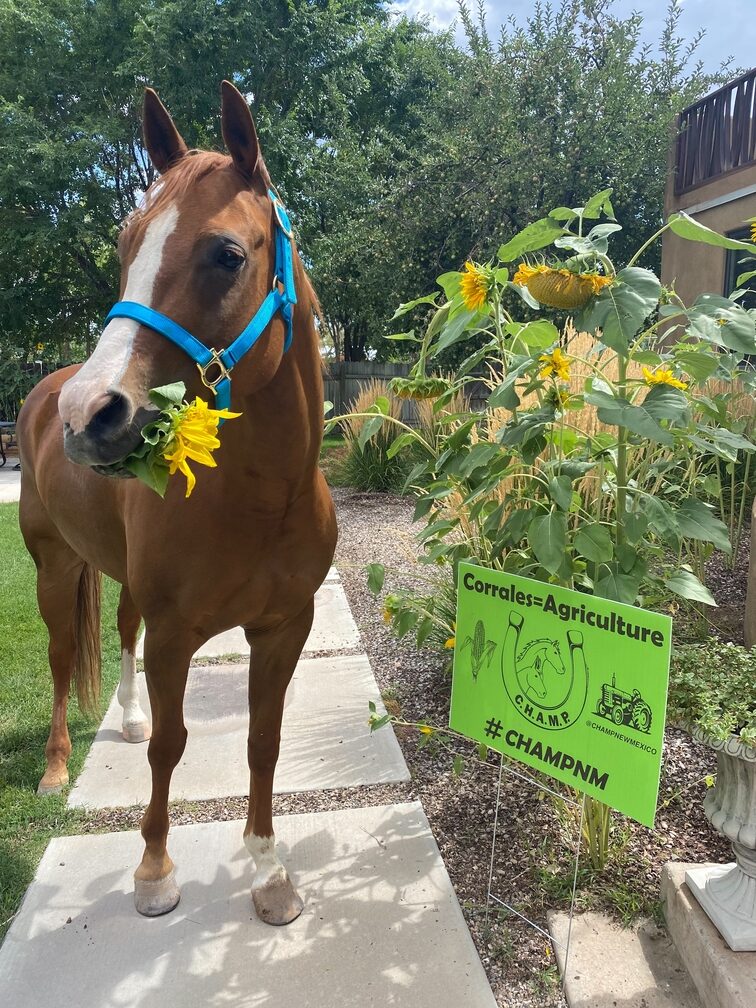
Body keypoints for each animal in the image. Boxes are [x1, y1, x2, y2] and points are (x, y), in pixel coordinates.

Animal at [17, 82, 337, 925]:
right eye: (125, 245)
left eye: (227, 254)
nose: (91, 415)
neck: (261, 502)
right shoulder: (175, 638)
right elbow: (173, 745)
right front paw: (155, 869)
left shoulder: (284, 628)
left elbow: (263, 741)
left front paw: (268, 870)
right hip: (53, 568)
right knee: (61, 658)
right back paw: (56, 768)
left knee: (120, 631)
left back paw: (124, 717)